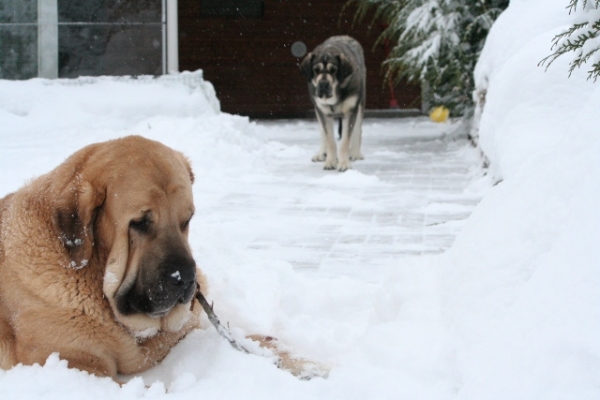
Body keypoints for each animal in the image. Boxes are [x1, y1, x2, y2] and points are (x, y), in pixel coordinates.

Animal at [300, 35, 366, 171]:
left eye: (334, 70)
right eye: (316, 70)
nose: (323, 84)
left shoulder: (350, 111)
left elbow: (345, 141)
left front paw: (344, 163)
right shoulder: (322, 112)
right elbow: (330, 140)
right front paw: (330, 161)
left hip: (360, 103)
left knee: (358, 128)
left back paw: (355, 153)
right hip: (318, 111)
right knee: (322, 132)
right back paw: (322, 153)